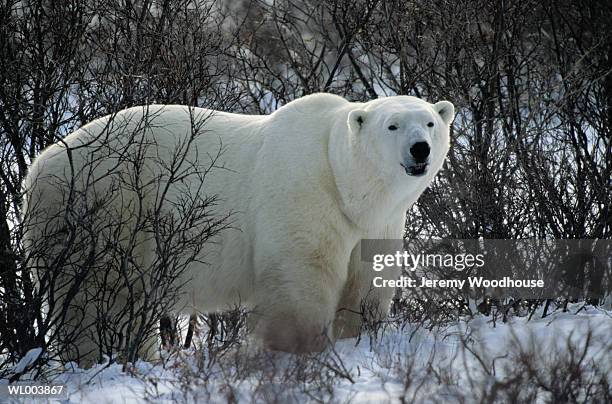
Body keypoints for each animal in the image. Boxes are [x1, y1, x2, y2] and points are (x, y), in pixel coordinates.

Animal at [22, 94, 454, 362]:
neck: (340, 175)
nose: (420, 148)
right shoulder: (303, 193)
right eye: (393, 125)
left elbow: (367, 282)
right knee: (97, 295)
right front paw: (302, 348)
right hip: (106, 208)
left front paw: (357, 338)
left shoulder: (377, 223)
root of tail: (38, 166)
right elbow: (304, 276)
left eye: (430, 121)